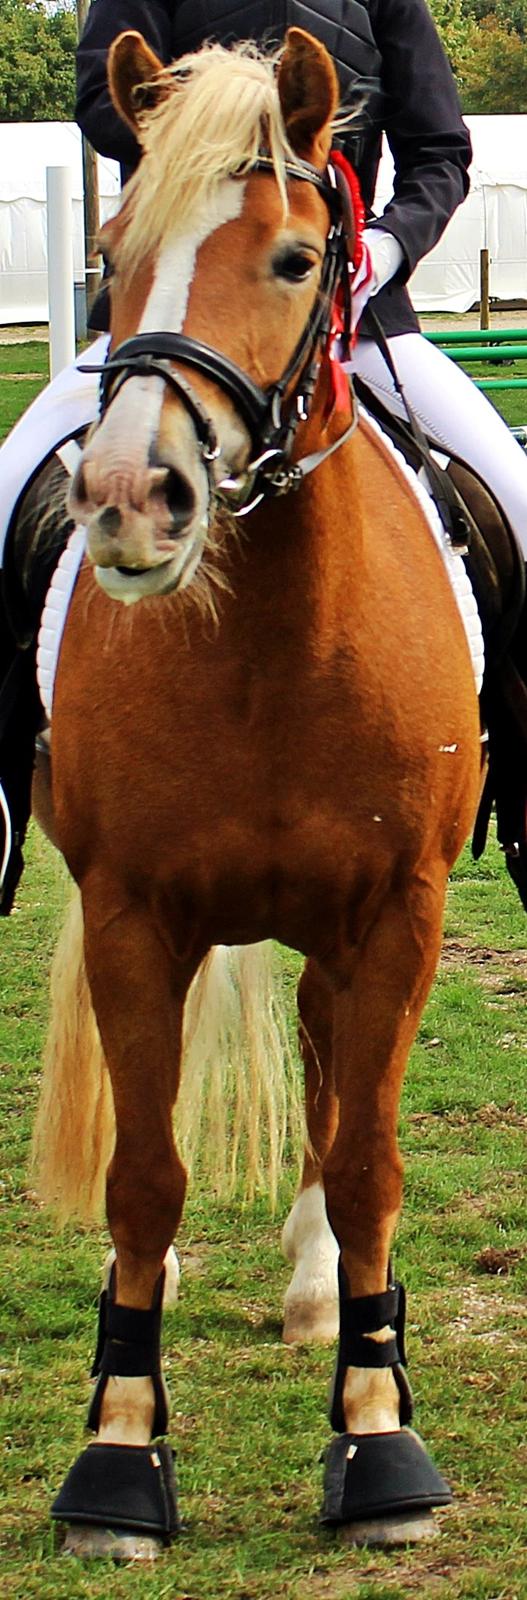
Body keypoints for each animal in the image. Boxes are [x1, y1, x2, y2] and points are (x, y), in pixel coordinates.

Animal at [22, 25, 484, 1561]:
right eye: (111, 255)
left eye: (293, 259)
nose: (129, 496)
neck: (274, 640)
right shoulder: (130, 917)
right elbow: (143, 1176)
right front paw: (115, 1458)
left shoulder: (396, 915)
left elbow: (368, 1161)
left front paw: (377, 1433)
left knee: (334, 1085)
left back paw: (323, 1294)